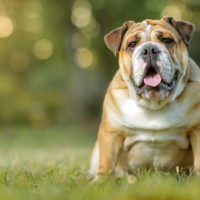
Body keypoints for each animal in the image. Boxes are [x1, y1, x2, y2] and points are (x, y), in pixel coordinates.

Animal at [90, 16, 200, 180]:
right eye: (132, 44)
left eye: (167, 40)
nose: (149, 50)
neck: (153, 103)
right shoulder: (111, 133)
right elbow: (107, 161)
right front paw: (101, 181)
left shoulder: (197, 130)